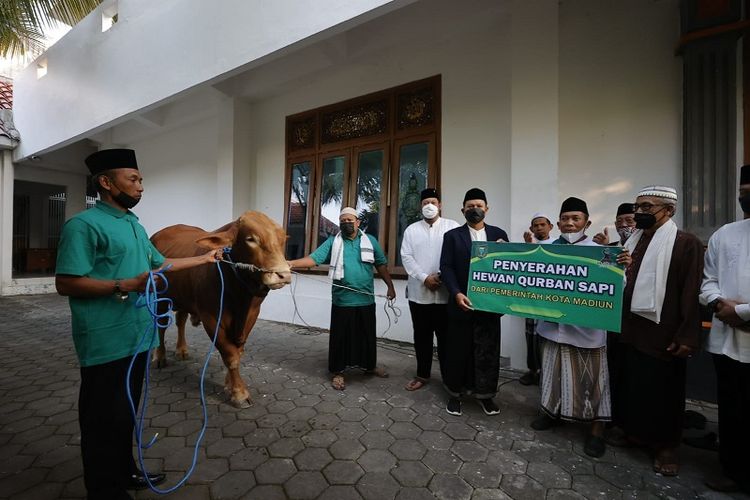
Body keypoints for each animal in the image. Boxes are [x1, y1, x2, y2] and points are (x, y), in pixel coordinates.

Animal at [151, 210, 292, 406]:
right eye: (250, 239)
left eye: (282, 238)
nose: (283, 274)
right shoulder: (211, 318)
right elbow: (230, 355)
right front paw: (239, 393)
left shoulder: (252, 315)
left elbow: (237, 351)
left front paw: (229, 384)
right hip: (160, 297)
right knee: (161, 325)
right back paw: (159, 357)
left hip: (184, 296)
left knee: (180, 320)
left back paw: (182, 350)